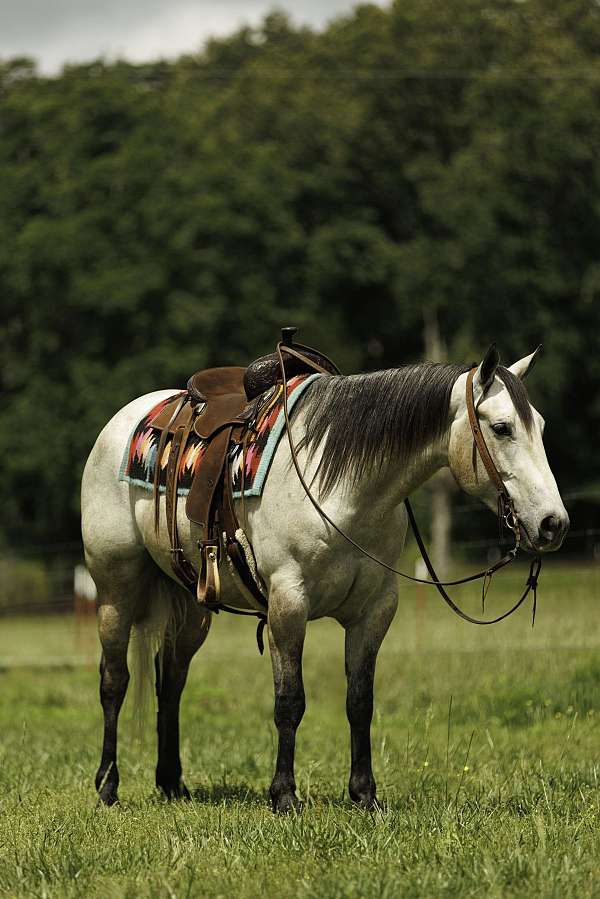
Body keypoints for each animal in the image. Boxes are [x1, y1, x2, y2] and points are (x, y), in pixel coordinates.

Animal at [81, 344, 569, 811]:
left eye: (541, 427)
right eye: (502, 428)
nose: (553, 523)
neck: (345, 491)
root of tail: (127, 419)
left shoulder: (375, 611)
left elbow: (359, 702)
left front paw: (364, 794)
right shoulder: (288, 605)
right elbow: (290, 702)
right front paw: (283, 795)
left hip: (192, 605)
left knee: (171, 681)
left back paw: (171, 783)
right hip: (116, 590)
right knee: (114, 681)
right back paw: (107, 786)